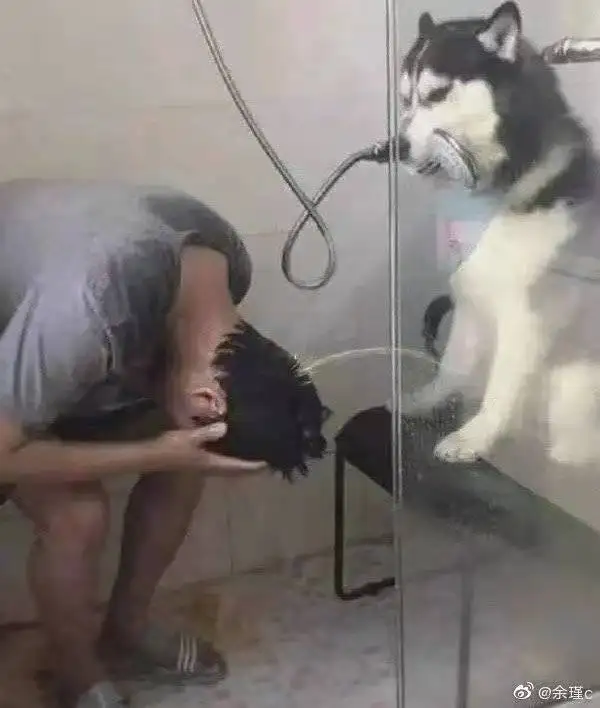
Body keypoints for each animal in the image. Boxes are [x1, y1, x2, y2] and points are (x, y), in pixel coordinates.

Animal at [399, 1, 600, 467]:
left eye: (436, 94)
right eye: (405, 98)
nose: (396, 147)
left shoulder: (526, 318)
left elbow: (501, 388)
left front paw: (474, 438)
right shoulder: (471, 296)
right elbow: (451, 365)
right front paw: (426, 401)